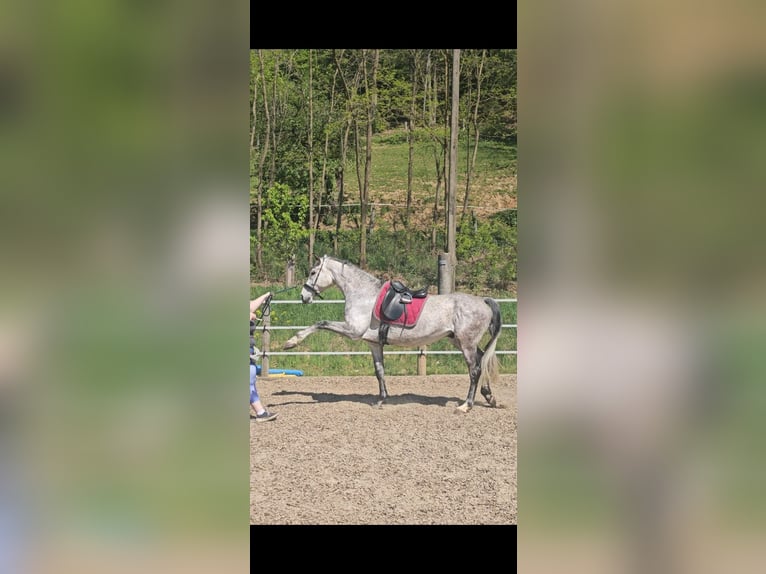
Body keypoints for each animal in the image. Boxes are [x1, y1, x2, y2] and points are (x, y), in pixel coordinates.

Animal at [284, 256, 504, 414]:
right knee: (482, 361)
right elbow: (379, 371)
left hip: (466, 343)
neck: (364, 295)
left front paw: (291, 342)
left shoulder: (352, 331)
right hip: (459, 341)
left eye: (313, 272)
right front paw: (381, 400)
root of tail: (483, 301)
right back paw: (490, 398)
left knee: (475, 370)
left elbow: (320, 323)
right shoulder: (373, 343)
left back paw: (466, 405)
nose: (304, 296)